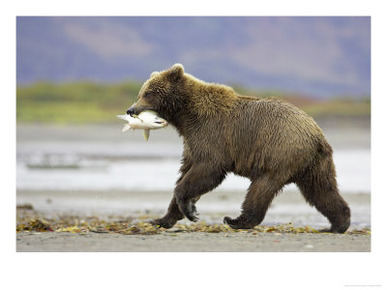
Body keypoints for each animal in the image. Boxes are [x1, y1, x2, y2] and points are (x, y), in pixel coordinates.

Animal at [126, 63, 352, 233]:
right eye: (141, 92)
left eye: (148, 93)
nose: (131, 109)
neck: (184, 117)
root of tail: (317, 134)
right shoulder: (191, 143)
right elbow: (186, 172)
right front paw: (161, 219)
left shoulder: (211, 134)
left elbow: (207, 170)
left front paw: (190, 209)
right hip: (314, 164)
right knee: (321, 190)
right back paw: (338, 224)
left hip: (279, 151)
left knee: (262, 187)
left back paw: (235, 220)